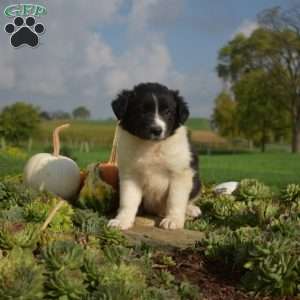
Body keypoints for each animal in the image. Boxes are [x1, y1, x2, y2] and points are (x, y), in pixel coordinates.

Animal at [108, 82, 202, 230]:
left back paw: (191, 209)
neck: (151, 146)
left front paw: (173, 220)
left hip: (196, 182)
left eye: (167, 112)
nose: (157, 130)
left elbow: (175, 200)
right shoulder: (130, 175)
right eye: (142, 111)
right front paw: (122, 220)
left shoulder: (180, 173)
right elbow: (128, 200)